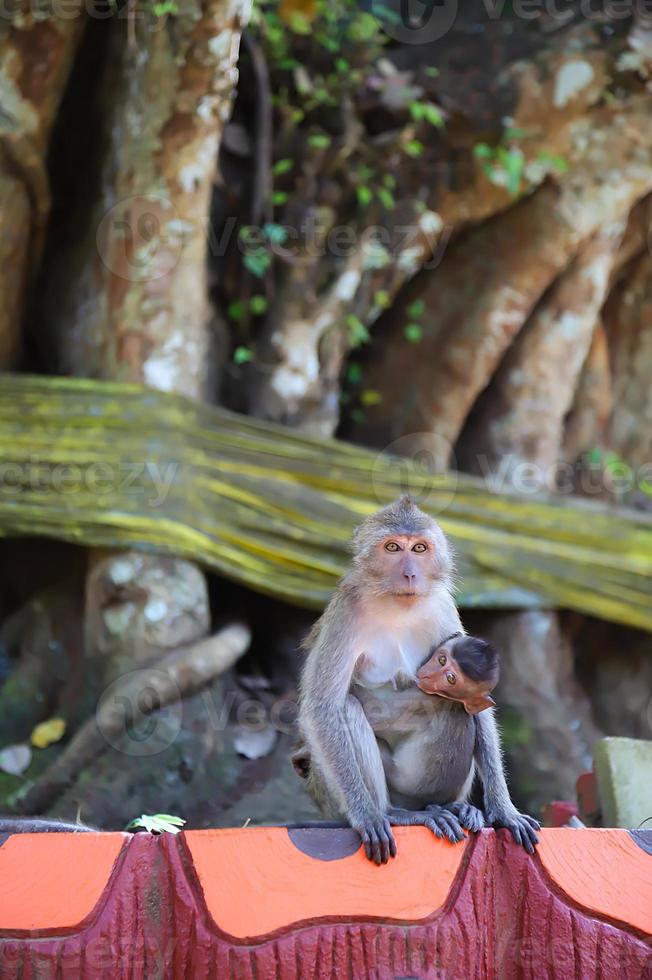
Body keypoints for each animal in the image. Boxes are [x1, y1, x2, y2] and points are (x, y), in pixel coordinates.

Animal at [298, 498, 536, 864]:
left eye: (420, 548)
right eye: (393, 547)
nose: (410, 573)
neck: (396, 604)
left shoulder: (443, 606)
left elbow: (479, 707)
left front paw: (504, 809)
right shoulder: (346, 612)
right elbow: (323, 706)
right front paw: (366, 814)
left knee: (463, 713)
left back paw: (455, 808)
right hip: (330, 791)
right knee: (346, 708)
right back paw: (392, 814)